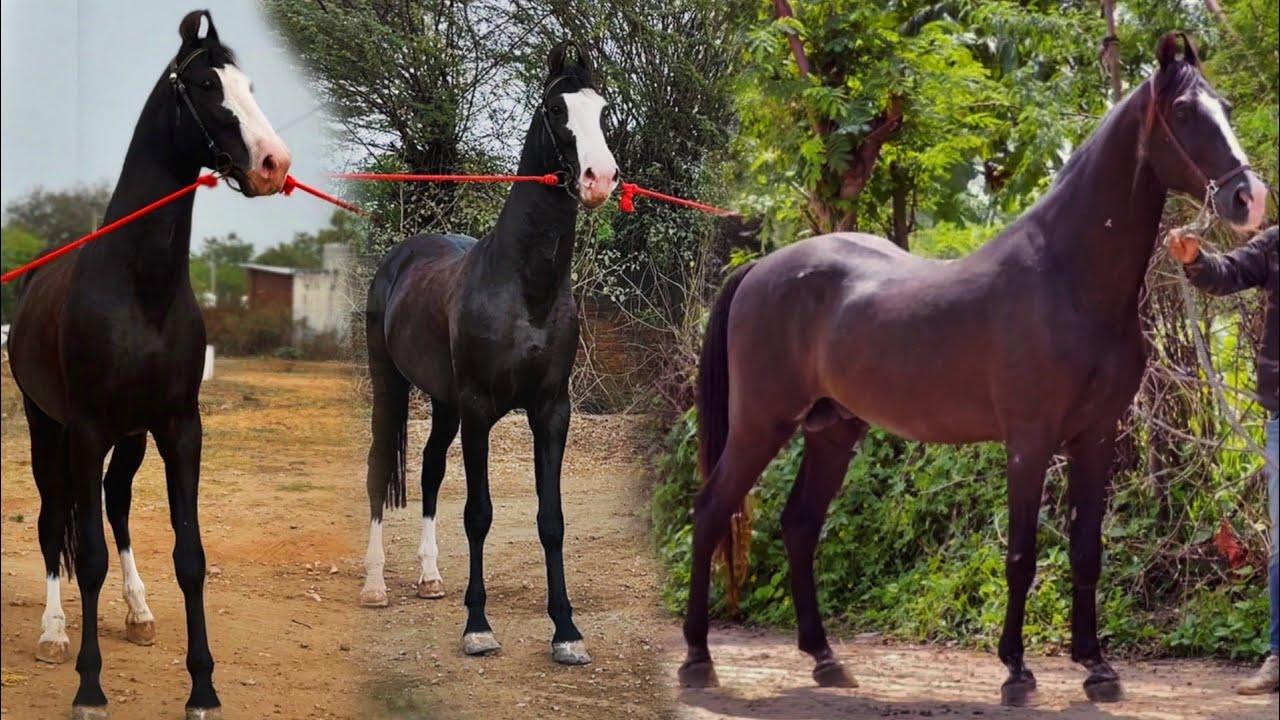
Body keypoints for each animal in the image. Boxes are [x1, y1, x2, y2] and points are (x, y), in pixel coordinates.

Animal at [7, 11, 291, 719]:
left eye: (249, 84)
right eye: (206, 86)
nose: (274, 163)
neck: (140, 290)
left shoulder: (179, 429)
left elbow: (189, 555)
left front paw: (204, 690)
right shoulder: (84, 432)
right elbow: (86, 555)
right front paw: (89, 689)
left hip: (131, 440)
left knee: (117, 507)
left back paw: (137, 613)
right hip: (46, 428)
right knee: (54, 522)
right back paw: (53, 633)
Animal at [357, 40, 618, 666]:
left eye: (602, 110)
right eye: (555, 109)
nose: (601, 178)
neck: (524, 289)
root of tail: (401, 255)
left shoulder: (550, 412)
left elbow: (551, 520)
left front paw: (566, 631)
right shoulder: (479, 410)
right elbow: (478, 515)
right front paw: (478, 626)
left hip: (443, 403)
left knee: (429, 470)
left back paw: (429, 578)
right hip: (392, 385)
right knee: (380, 470)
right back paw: (374, 584)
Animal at [678, 32, 1267, 706]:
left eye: (1225, 106)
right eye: (1185, 112)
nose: (1249, 199)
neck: (1068, 278)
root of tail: (760, 269)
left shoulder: (1096, 439)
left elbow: (1086, 553)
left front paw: (1097, 669)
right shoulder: (1029, 442)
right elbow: (1021, 557)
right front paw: (1017, 671)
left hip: (832, 431)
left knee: (799, 526)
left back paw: (826, 660)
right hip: (761, 424)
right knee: (710, 510)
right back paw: (697, 660)